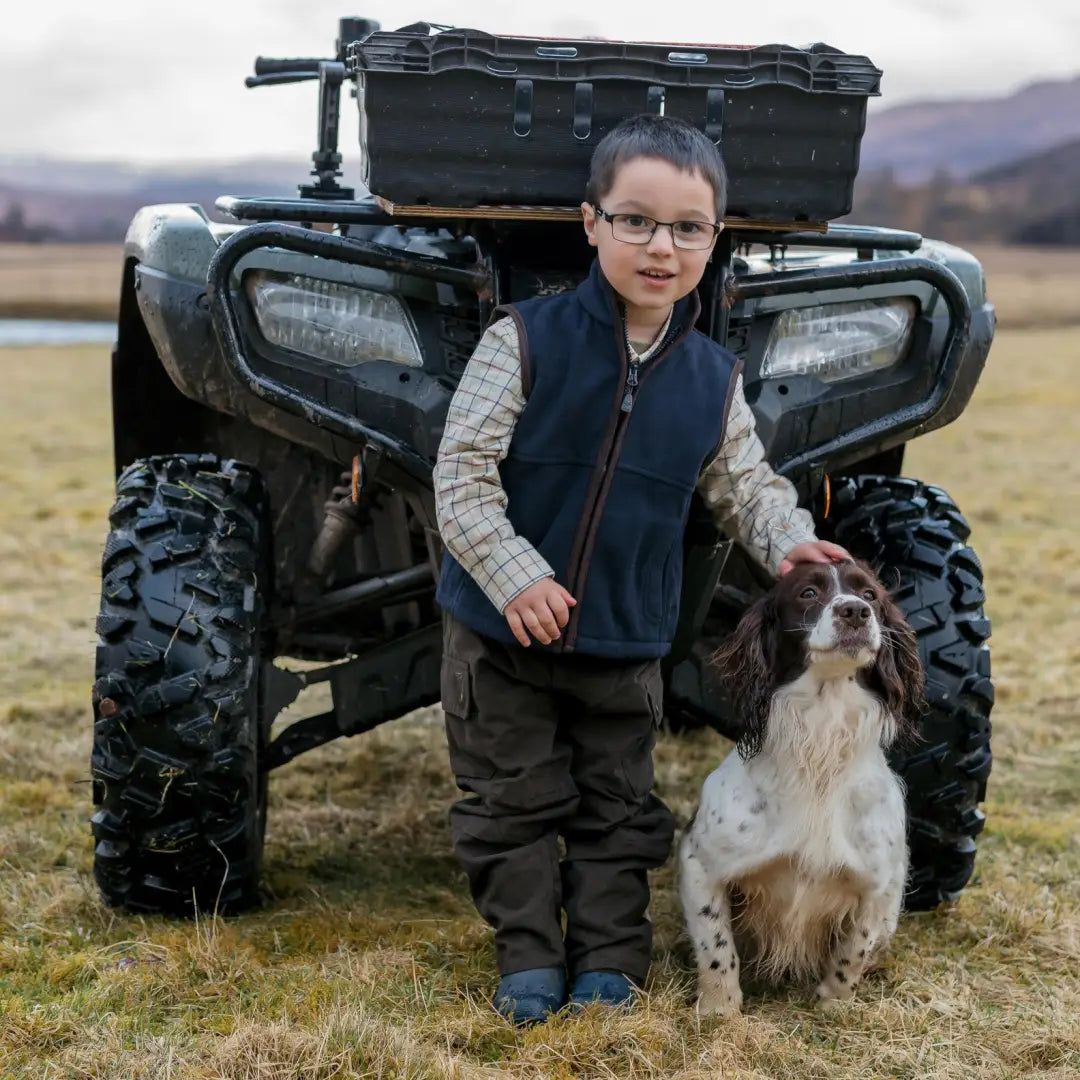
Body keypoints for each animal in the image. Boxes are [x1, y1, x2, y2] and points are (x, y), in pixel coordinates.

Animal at [678, 557, 924, 1010]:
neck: (819, 750)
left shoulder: (880, 883)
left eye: (869, 594)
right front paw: (720, 1009)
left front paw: (833, 1005)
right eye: (808, 593)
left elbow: (853, 951)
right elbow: (715, 945)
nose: (855, 612)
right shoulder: (699, 862)